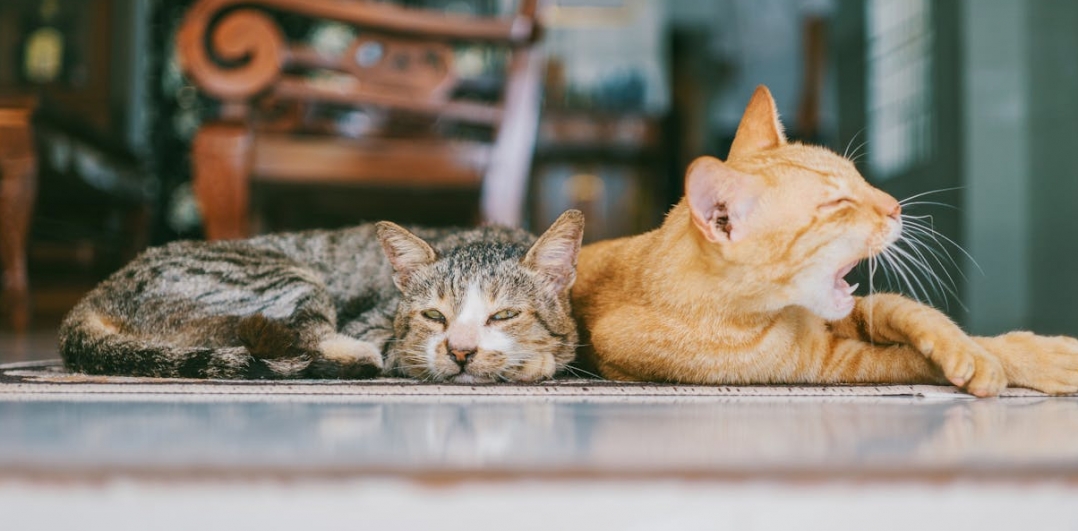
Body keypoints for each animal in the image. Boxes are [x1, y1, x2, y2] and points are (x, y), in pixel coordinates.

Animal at [61, 210, 582, 381]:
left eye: (505, 314)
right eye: (434, 316)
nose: (461, 350)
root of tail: (96, 294)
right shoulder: (379, 328)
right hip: (288, 277)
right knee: (313, 339)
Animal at [573, 85, 1078, 396]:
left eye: (858, 179)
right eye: (838, 203)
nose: (895, 205)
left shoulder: (855, 313)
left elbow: (913, 312)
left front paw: (980, 347)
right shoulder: (832, 366)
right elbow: (917, 360)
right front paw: (1005, 361)